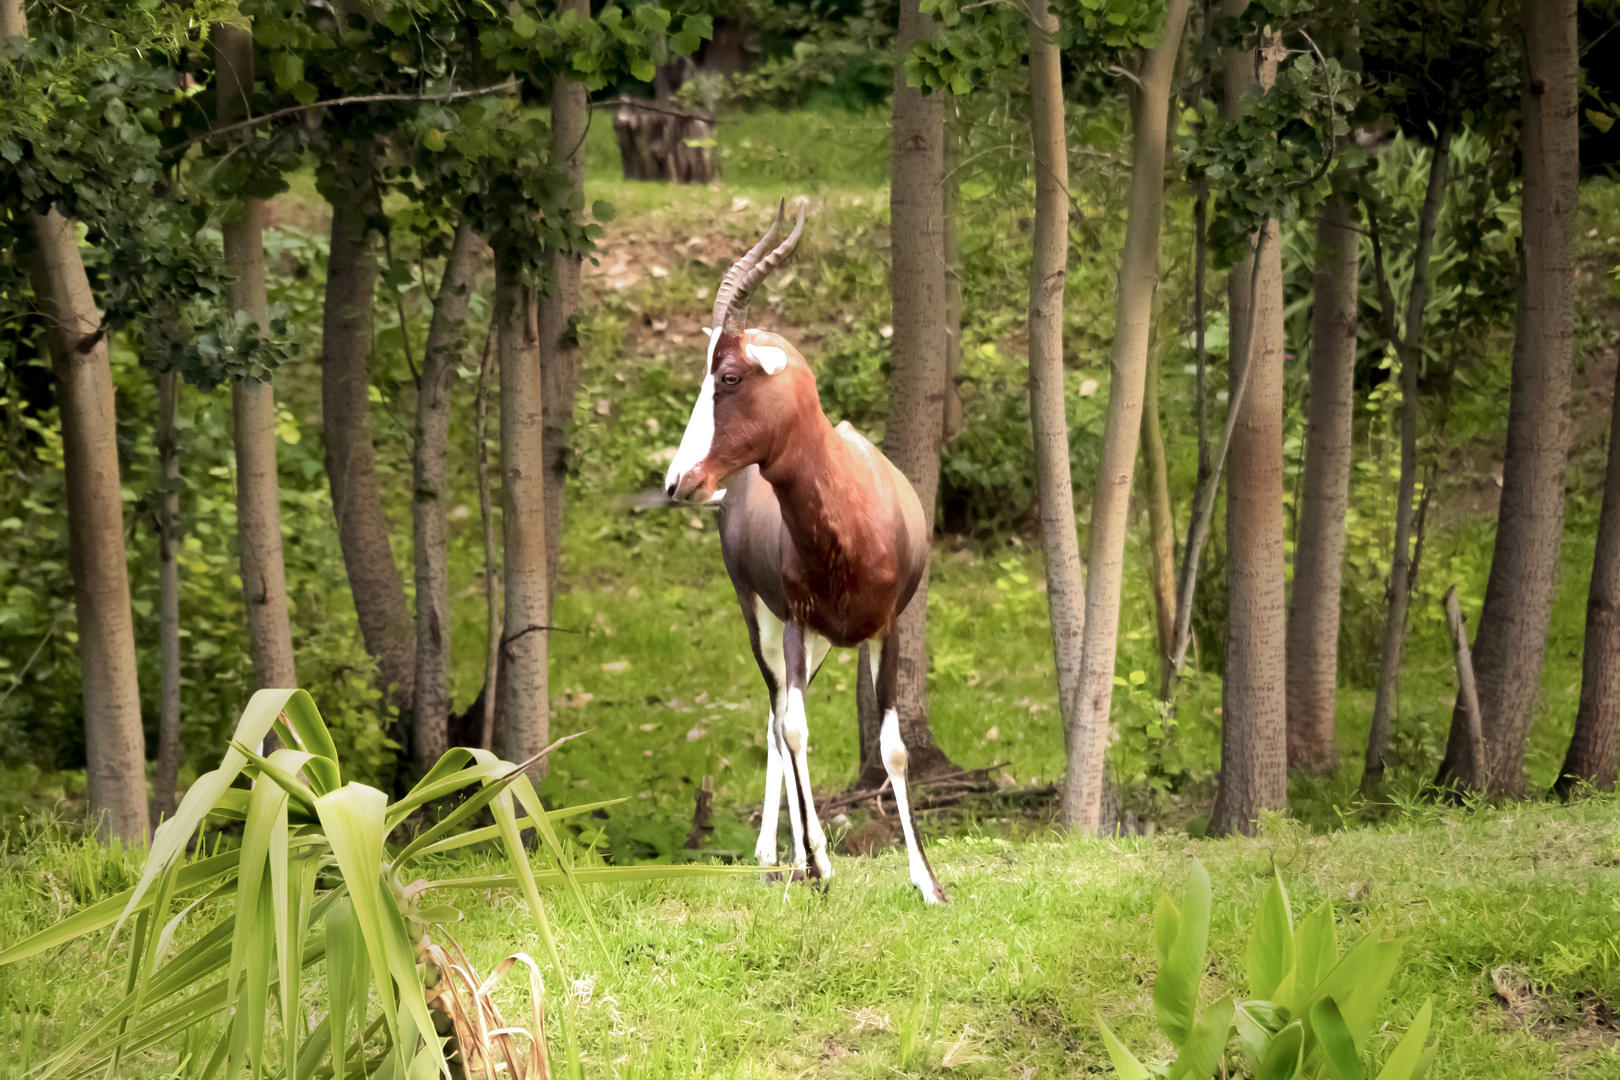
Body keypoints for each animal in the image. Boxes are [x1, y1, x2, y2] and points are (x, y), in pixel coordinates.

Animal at [664, 200, 946, 906]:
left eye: (729, 375)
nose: (679, 483)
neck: (852, 506)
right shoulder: (792, 619)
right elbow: (795, 730)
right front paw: (817, 863)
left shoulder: (887, 628)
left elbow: (892, 749)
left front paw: (929, 883)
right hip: (765, 623)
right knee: (777, 714)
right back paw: (786, 857)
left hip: (822, 644)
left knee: (780, 719)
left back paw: (786, 855)